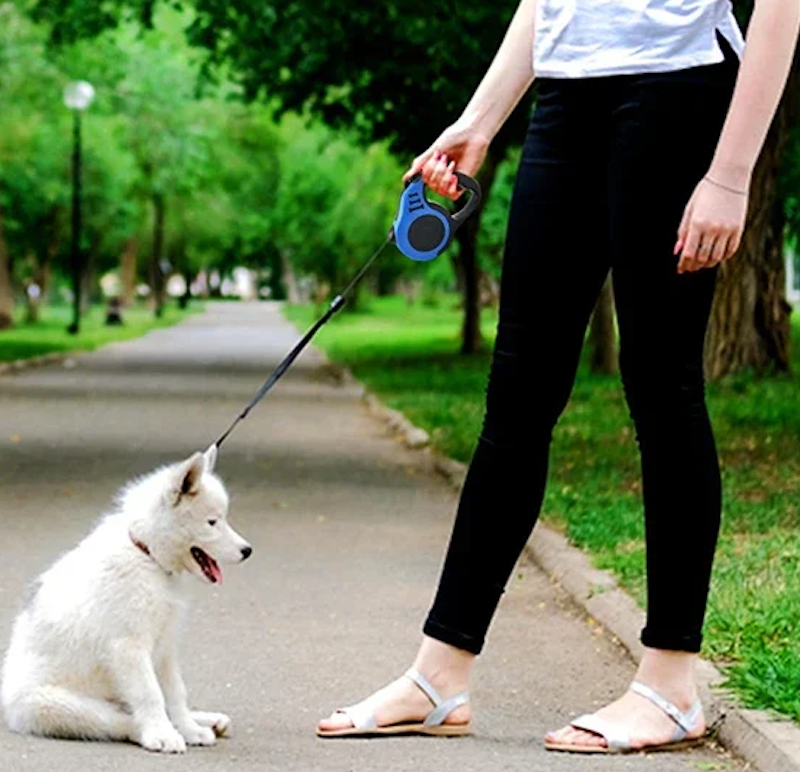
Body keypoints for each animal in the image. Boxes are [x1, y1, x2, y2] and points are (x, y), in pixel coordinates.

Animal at [0, 446, 250, 752]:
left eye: (223, 518)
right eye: (212, 522)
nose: (247, 550)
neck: (147, 554)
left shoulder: (164, 646)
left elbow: (175, 693)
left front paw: (190, 729)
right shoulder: (129, 647)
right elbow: (151, 694)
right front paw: (165, 734)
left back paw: (206, 721)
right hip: (59, 706)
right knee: (119, 720)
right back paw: (153, 732)